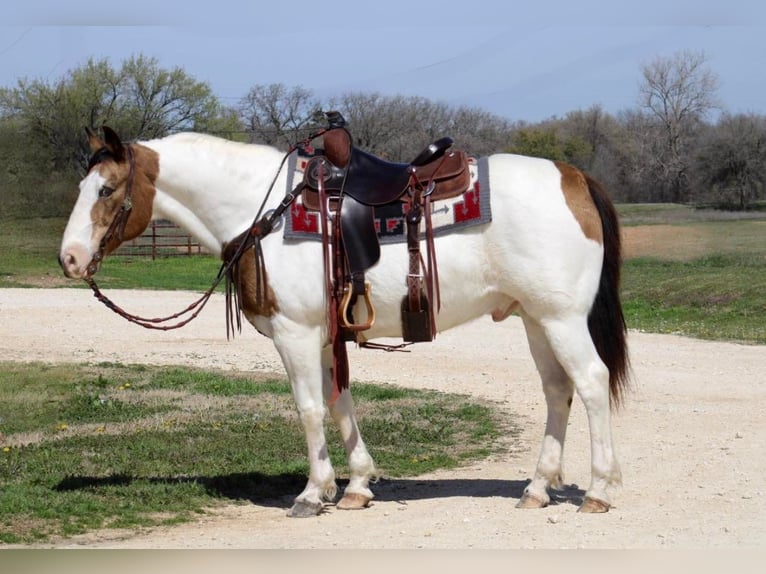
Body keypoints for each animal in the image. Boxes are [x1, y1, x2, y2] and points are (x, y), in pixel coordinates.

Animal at [58, 124, 632, 520]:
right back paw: (537, 488)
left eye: (106, 190)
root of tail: (573, 177)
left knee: (591, 383)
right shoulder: (323, 335)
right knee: (557, 391)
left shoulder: (294, 333)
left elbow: (310, 409)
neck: (263, 212)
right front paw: (355, 486)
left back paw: (599, 491)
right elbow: (340, 403)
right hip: (535, 319)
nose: (69, 259)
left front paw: (314, 493)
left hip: (562, 319)